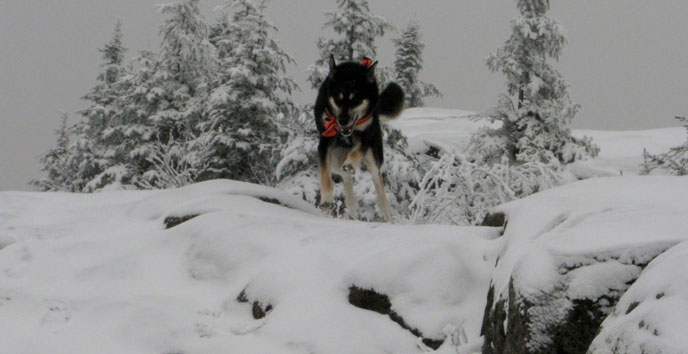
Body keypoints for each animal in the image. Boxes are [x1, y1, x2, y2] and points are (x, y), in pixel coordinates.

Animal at [316, 55, 406, 221]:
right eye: (338, 99)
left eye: (355, 100)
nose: (342, 121)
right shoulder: (325, 141)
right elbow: (325, 173)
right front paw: (326, 200)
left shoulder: (366, 137)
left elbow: (357, 151)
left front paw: (351, 162)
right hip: (336, 157)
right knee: (342, 173)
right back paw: (351, 203)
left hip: (373, 155)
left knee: (377, 179)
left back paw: (385, 209)